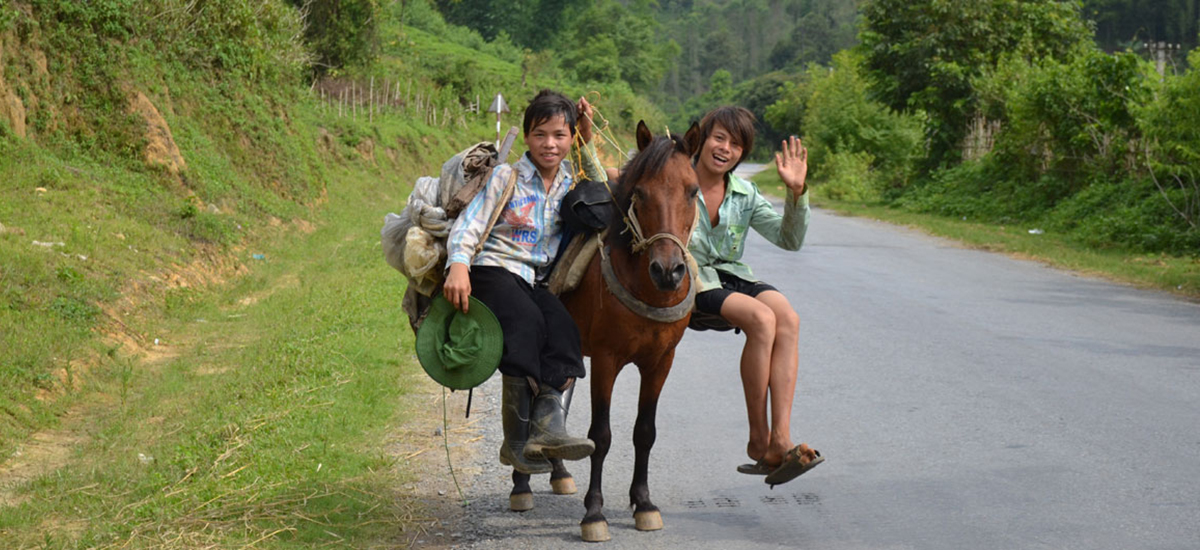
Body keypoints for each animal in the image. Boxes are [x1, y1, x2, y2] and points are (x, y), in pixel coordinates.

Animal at [559, 119, 700, 540]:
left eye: (693, 191)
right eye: (640, 192)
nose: (668, 271)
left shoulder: (660, 362)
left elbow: (645, 432)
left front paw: (644, 503)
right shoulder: (606, 360)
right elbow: (601, 435)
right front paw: (594, 512)